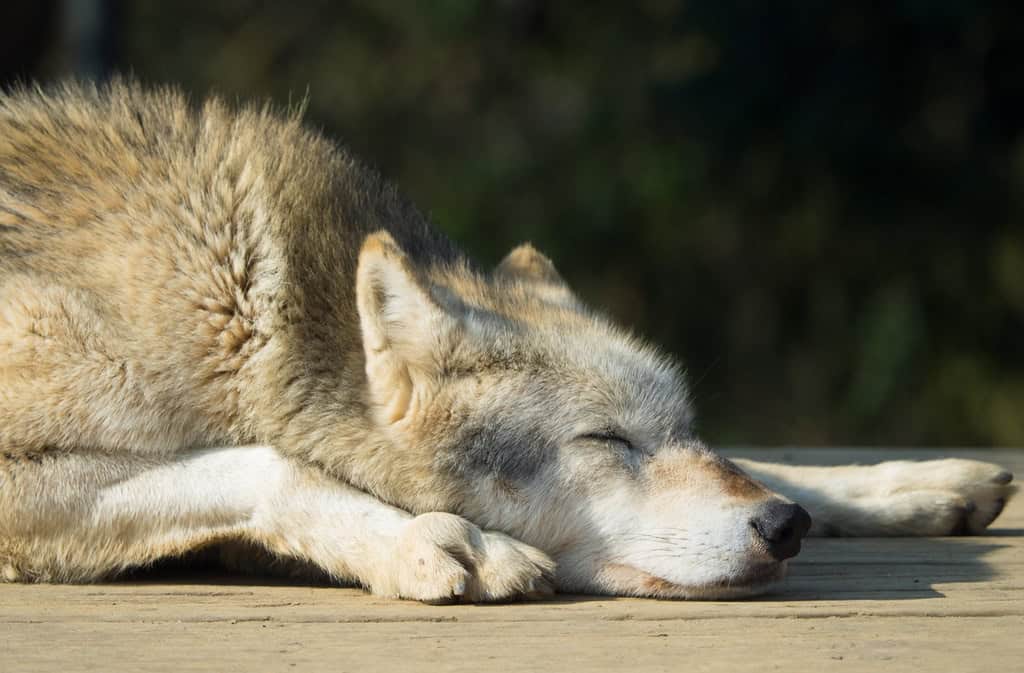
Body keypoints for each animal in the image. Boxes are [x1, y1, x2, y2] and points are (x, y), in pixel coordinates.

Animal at [0, 81, 1015, 601]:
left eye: (684, 430)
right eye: (607, 441)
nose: (784, 528)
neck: (247, 311)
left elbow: (769, 459)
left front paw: (909, 486)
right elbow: (266, 463)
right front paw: (435, 542)